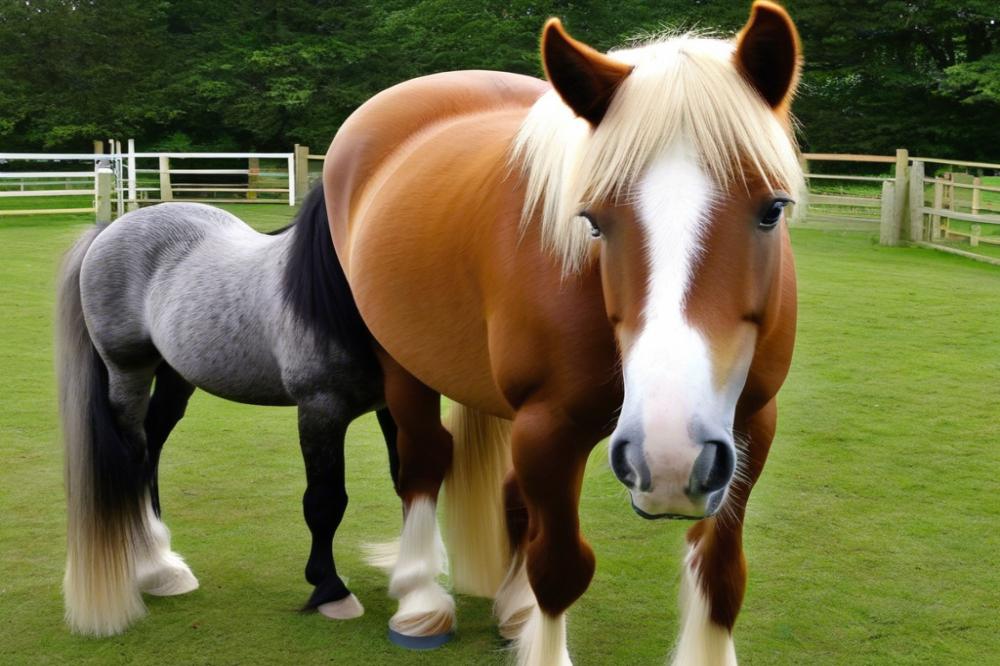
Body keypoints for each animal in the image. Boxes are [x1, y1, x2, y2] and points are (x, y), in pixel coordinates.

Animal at [328, 2, 804, 660]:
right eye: (594, 220)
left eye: (772, 209)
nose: (670, 456)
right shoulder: (548, 427)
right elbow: (559, 569)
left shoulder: (751, 424)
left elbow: (721, 575)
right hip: (401, 362)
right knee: (423, 459)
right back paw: (421, 601)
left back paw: (512, 609)